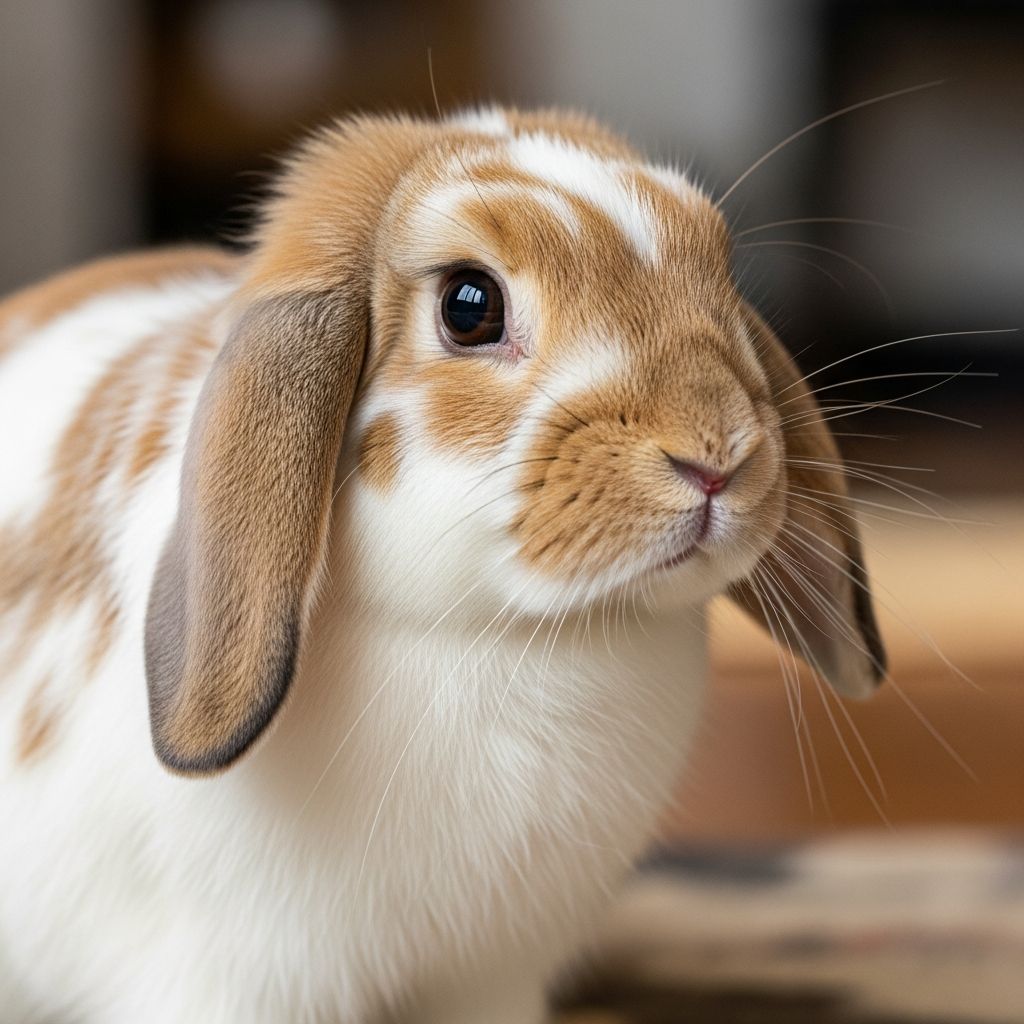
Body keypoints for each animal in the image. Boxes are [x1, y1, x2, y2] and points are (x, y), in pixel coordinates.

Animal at [0, 107, 885, 1024]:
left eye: (719, 270)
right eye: (469, 305)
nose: (718, 457)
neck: (510, 634)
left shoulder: (492, 978)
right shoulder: (231, 983)